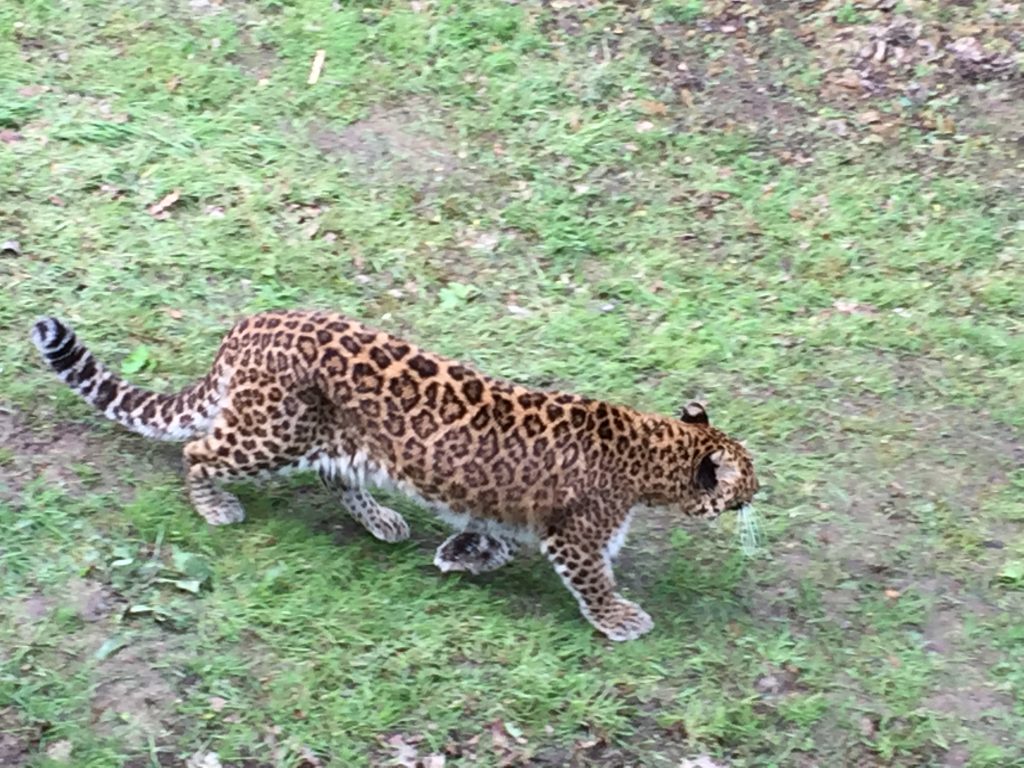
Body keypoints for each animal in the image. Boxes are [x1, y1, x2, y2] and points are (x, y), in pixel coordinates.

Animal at [30, 309, 759, 642]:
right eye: (747, 476)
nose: (762, 493)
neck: (653, 453)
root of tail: (248, 326)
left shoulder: (509, 508)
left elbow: (490, 533)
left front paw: (460, 556)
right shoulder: (576, 536)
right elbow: (593, 579)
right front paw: (620, 618)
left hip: (334, 440)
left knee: (335, 478)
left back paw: (383, 520)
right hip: (271, 433)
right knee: (199, 452)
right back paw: (215, 506)